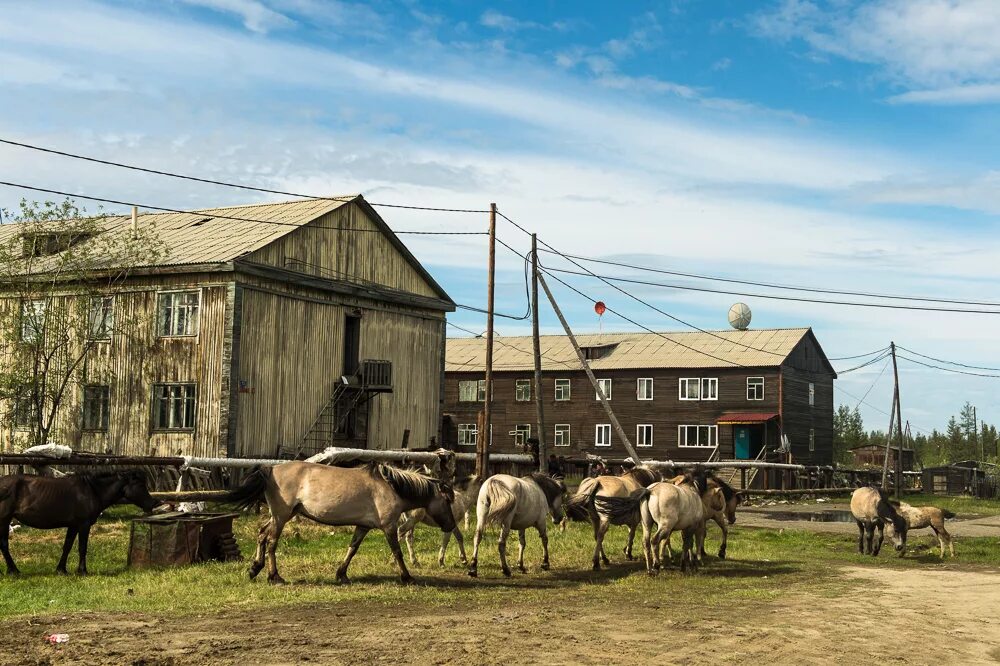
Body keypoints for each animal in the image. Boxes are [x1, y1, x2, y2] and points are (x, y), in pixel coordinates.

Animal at [0, 470, 159, 572]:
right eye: (140, 485)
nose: (153, 503)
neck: (92, 490)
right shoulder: (84, 524)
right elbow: (82, 547)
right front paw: (82, 571)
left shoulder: (73, 526)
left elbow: (67, 546)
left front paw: (61, 570)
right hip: (4, 520)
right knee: (4, 545)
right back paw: (13, 570)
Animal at [225, 460, 456, 584]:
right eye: (447, 500)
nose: (451, 525)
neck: (390, 486)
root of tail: (271, 469)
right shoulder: (389, 527)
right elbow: (397, 552)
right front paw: (407, 577)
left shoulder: (363, 527)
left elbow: (352, 549)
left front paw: (341, 574)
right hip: (282, 517)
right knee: (272, 541)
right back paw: (275, 576)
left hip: (278, 516)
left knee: (262, 534)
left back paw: (255, 568)